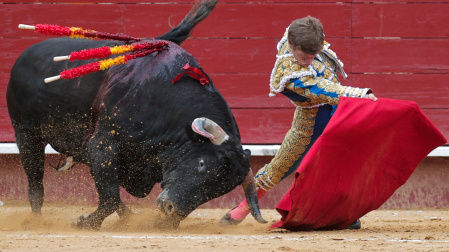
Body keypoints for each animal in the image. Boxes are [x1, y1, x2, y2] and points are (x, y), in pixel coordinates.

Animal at [6, 0, 266, 229]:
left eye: (218, 191)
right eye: (202, 164)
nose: (171, 208)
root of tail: (24, 56)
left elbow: (111, 193)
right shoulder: (103, 145)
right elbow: (109, 197)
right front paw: (84, 223)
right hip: (26, 134)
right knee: (35, 183)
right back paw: (37, 221)